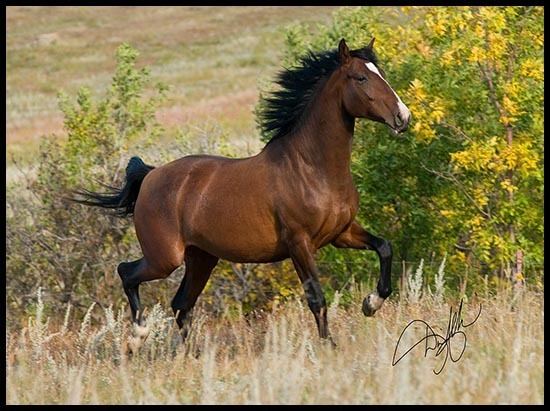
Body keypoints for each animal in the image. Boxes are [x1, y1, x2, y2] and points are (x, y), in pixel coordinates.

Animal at [72, 37, 410, 348]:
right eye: (360, 77)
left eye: (380, 72)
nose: (403, 117)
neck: (312, 168)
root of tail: (151, 175)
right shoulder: (299, 242)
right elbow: (316, 296)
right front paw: (329, 347)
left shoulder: (341, 233)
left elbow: (385, 247)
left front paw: (371, 304)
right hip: (165, 258)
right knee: (127, 273)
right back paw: (139, 335)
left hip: (201, 257)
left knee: (181, 304)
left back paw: (187, 355)